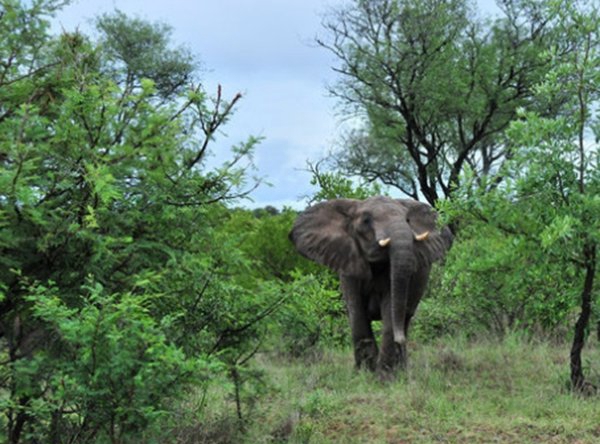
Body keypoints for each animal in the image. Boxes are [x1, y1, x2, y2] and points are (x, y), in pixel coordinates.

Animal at [288, 196, 452, 372]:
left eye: (408, 220)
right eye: (366, 221)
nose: (400, 339)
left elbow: (390, 311)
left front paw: (384, 375)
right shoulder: (348, 266)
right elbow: (356, 313)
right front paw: (365, 372)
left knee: (406, 318)